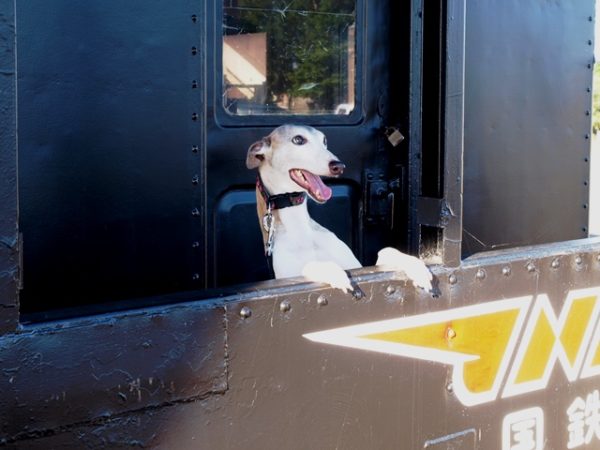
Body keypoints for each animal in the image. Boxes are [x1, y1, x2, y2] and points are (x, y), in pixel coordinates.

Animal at [245, 124, 432, 292]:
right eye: (298, 139)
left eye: (324, 141)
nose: (339, 166)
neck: (300, 230)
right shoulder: (287, 277)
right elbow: (309, 266)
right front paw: (331, 270)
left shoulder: (360, 267)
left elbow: (387, 250)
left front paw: (416, 265)